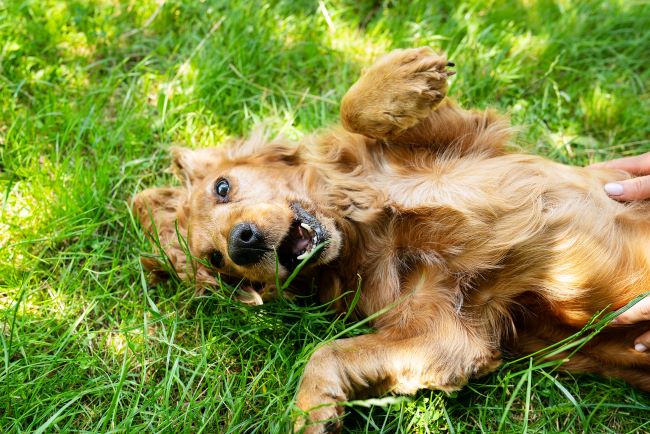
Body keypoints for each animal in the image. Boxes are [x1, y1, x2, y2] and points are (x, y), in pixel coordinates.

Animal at [132, 48, 648, 434]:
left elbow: (351, 110)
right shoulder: (448, 333)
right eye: (216, 260)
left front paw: (404, 77)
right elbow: (330, 352)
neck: (370, 223)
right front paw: (313, 411)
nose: (241, 243)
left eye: (223, 187)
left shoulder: (468, 134)